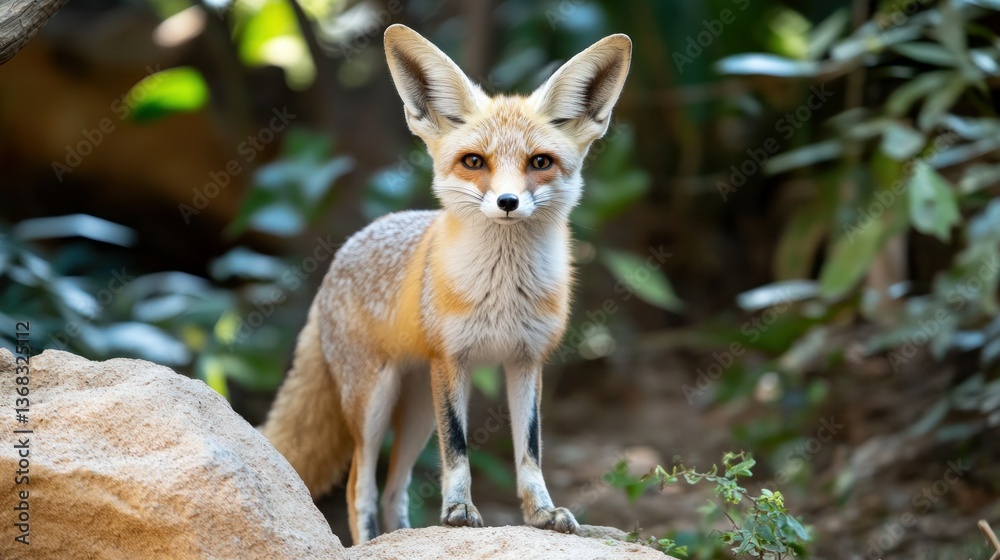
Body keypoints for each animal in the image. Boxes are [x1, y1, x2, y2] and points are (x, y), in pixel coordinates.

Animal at [261, 24, 631, 545]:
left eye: (540, 162)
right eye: (474, 161)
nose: (507, 202)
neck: (502, 293)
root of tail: (342, 253)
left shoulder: (527, 360)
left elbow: (530, 451)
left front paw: (542, 514)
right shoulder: (452, 359)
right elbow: (458, 450)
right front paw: (459, 511)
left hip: (416, 411)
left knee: (394, 491)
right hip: (375, 403)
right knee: (360, 487)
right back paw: (370, 542)